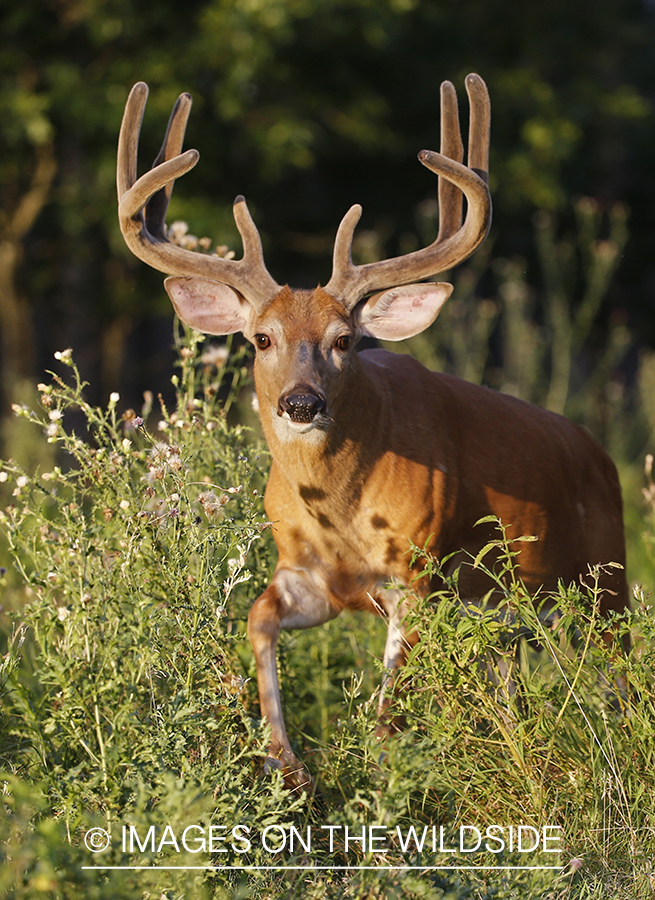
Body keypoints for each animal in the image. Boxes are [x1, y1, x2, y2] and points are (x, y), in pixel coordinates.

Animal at [118, 74, 632, 788]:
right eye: (261, 337)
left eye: (345, 339)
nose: (301, 403)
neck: (342, 516)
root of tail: (600, 455)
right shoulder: (309, 574)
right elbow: (257, 616)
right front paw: (286, 762)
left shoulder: (417, 573)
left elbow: (389, 715)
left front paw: (381, 782)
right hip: (512, 624)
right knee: (511, 692)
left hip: (605, 588)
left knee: (622, 680)